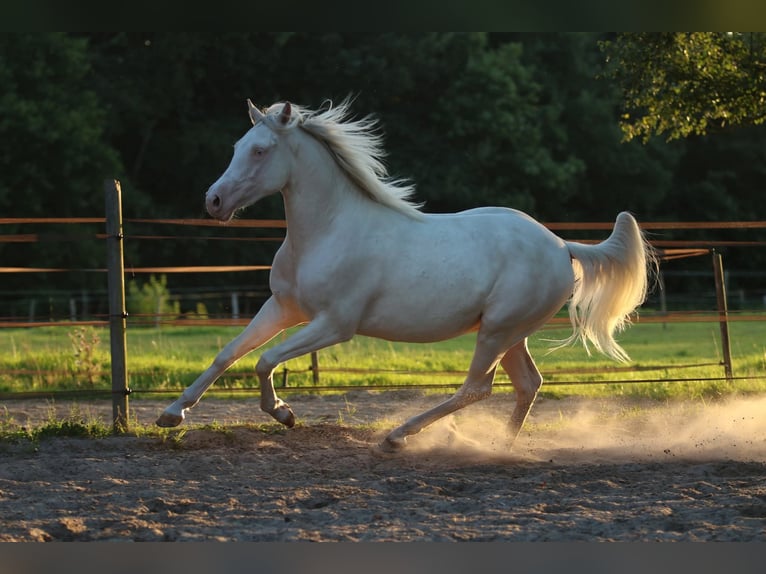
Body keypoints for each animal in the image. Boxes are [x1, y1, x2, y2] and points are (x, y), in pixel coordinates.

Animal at [156, 98, 656, 452]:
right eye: (237, 147)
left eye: (260, 150)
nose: (214, 201)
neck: (329, 231)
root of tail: (561, 246)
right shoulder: (283, 308)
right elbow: (228, 355)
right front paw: (171, 415)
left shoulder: (334, 325)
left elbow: (263, 361)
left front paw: (283, 413)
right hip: (512, 334)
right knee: (527, 385)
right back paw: (500, 447)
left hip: (497, 331)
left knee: (477, 387)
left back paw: (398, 437)